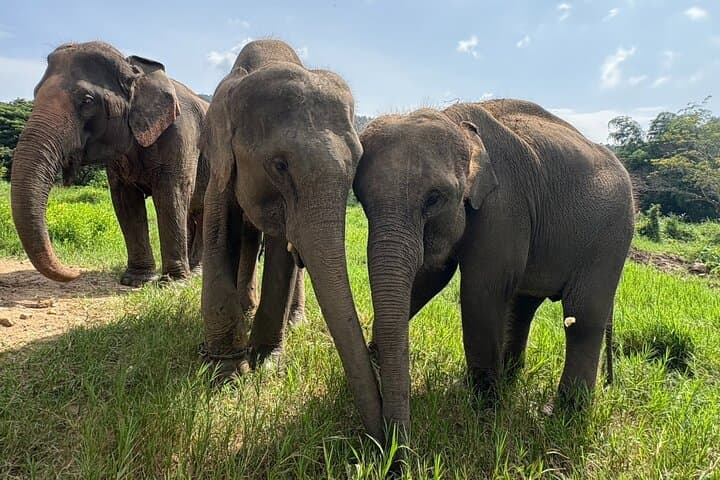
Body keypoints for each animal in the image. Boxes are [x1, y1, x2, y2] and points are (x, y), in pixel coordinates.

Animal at [10, 41, 209, 286]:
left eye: (86, 100)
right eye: (35, 93)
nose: (75, 272)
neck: (135, 69)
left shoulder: (181, 135)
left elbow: (172, 193)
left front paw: (173, 283)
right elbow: (126, 200)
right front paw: (136, 281)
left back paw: (196, 272)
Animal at [199, 40, 383, 440]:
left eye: (357, 166)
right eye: (280, 166)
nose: (385, 445)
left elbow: (282, 260)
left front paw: (265, 363)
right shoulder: (220, 165)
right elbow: (218, 237)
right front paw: (227, 374)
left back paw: (293, 321)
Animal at [353, 99, 634, 436]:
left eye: (433, 199)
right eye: (360, 198)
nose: (393, 446)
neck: (457, 122)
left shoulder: (505, 205)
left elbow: (481, 291)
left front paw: (484, 411)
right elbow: (430, 276)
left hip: (611, 236)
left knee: (583, 316)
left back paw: (561, 415)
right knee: (523, 306)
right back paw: (512, 380)